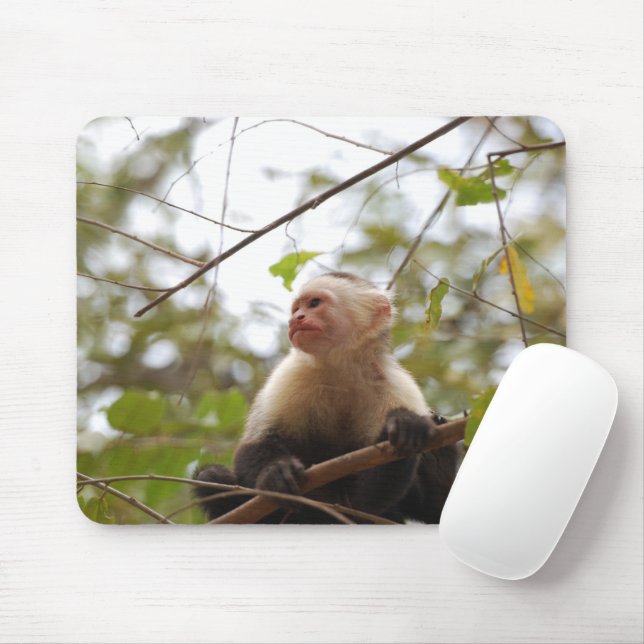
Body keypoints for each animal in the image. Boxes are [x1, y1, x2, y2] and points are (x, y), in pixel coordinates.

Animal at [194, 271, 459, 523]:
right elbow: (254, 445)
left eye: (314, 303)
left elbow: (367, 502)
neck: (341, 368)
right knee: (211, 477)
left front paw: (406, 425)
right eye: (296, 309)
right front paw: (276, 473)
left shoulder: (399, 387)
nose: (295, 319)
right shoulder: (290, 373)